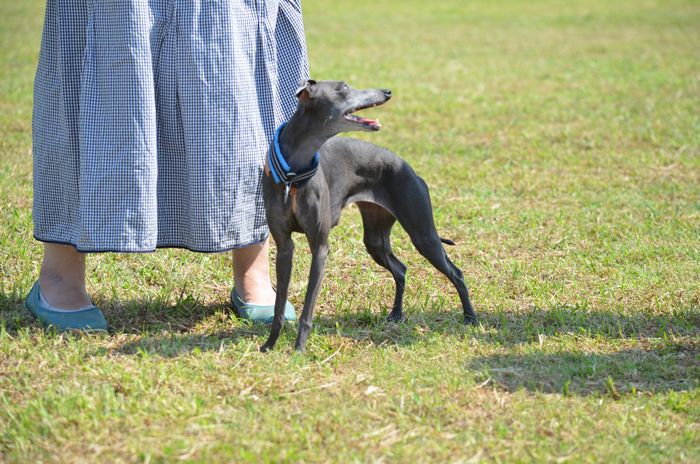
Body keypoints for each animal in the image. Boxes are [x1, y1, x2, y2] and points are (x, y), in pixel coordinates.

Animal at [260, 80, 478, 352]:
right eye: (343, 87)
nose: (387, 92)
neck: (293, 174)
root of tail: (410, 169)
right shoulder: (284, 246)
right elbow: (279, 303)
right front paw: (270, 344)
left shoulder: (320, 247)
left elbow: (308, 308)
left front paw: (299, 347)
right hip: (375, 239)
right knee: (401, 269)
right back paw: (396, 314)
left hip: (423, 234)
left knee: (456, 273)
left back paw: (471, 318)